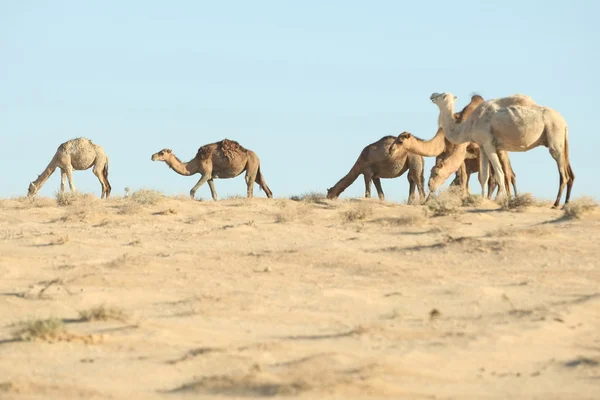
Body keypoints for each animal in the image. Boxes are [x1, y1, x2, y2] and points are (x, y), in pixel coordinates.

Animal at [428, 92, 576, 208]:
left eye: (443, 95)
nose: (432, 95)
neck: (470, 124)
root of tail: (564, 122)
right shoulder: (482, 146)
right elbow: (484, 176)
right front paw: (483, 200)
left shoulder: (489, 144)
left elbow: (499, 174)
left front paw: (504, 200)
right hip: (562, 142)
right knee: (570, 173)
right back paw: (566, 203)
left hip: (554, 138)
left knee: (563, 174)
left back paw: (556, 204)